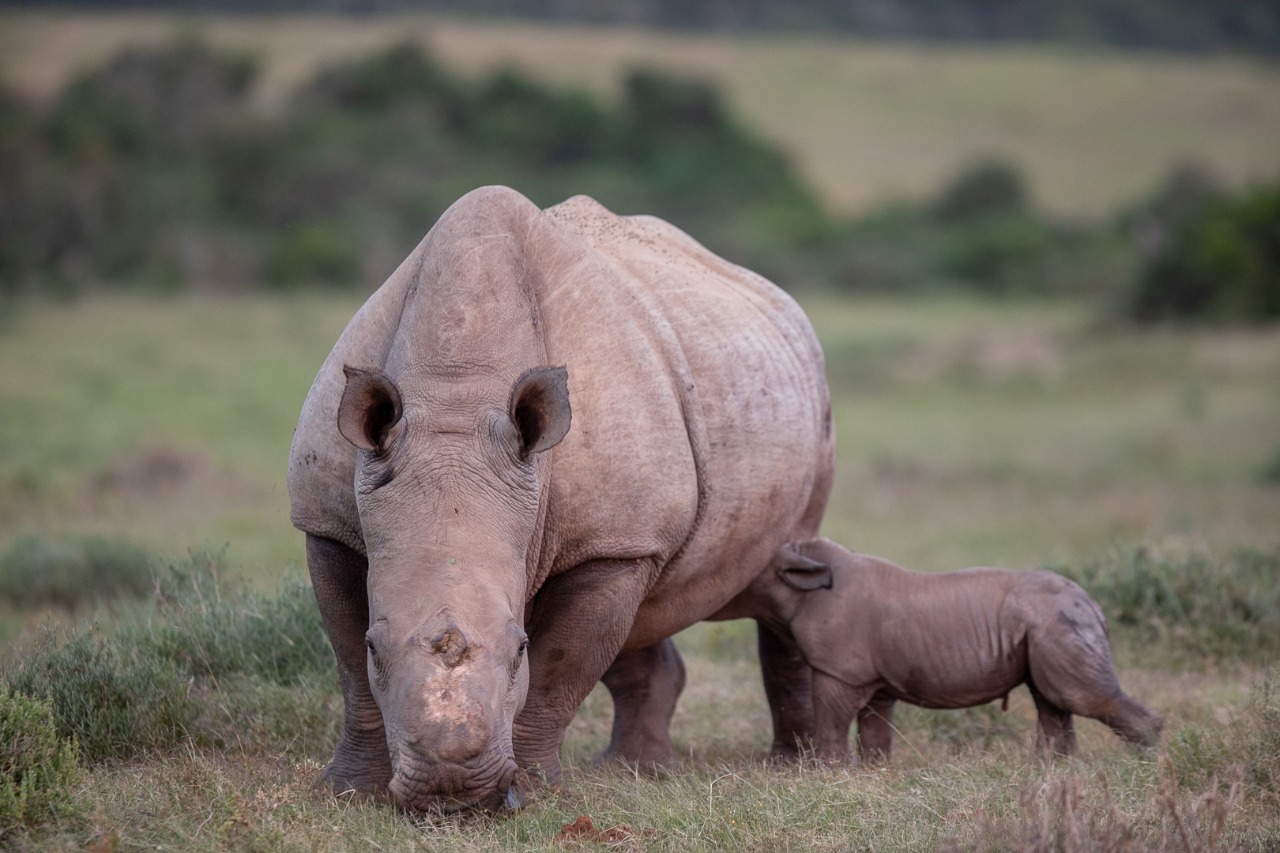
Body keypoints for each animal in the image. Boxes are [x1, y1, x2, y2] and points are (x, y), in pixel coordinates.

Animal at [285, 185, 834, 809]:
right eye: (379, 647)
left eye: (519, 648)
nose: (450, 786)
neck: (454, 391)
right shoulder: (327, 523)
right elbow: (352, 670)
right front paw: (345, 792)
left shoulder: (612, 541)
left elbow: (557, 673)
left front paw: (534, 794)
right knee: (645, 610)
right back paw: (634, 769)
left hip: (800, 405)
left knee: (789, 573)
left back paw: (795, 764)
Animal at [762, 535, 1167, 758]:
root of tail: (1094, 606)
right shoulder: (873, 678)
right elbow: (874, 734)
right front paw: (869, 776)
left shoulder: (839, 672)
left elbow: (829, 727)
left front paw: (826, 775)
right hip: (1049, 627)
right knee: (1052, 703)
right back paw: (1050, 773)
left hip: (1058, 623)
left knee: (1083, 698)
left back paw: (1150, 765)